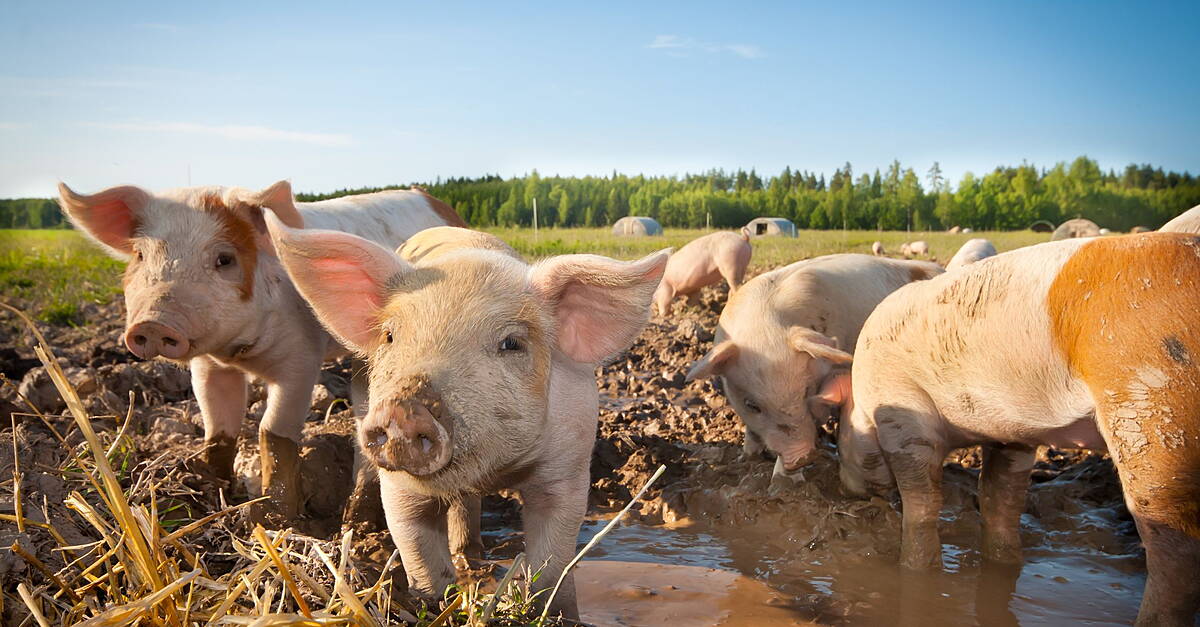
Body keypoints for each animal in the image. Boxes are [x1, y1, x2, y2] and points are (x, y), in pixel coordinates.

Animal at [57, 181, 466, 522]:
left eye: (224, 259)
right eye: (141, 255)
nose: (154, 324)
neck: (240, 354)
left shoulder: (301, 359)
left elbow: (273, 431)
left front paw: (275, 519)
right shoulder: (208, 367)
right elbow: (218, 427)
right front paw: (209, 490)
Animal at [265, 217, 667, 619]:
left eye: (511, 343)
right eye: (390, 335)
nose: (404, 411)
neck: (494, 471)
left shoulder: (568, 466)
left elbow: (553, 561)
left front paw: (556, 614)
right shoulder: (399, 486)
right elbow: (417, 549)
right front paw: (434, 601)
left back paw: (471, 554)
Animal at [840, 232, 1200, 625]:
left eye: (841, 441)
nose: (845, 488)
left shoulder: (902, 416)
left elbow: (922, 503)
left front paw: (915, 570)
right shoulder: (1010, 434)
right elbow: (1000, 499)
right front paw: (1005, 564)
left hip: (1151, 403)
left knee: (1174, 544)